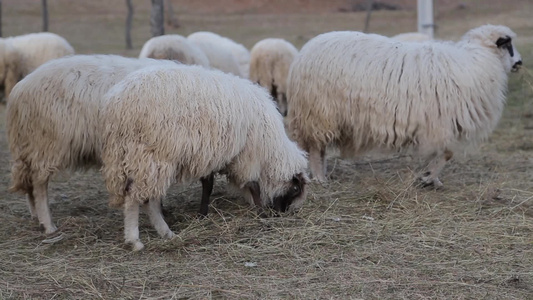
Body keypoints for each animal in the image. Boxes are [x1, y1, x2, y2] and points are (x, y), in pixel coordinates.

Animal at [7, 55, 179, 236]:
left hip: (29, 146)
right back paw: (48, 225)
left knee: (29, 184)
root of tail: (20, 87)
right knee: (39, 184)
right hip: (47, 144)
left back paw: (36, 217)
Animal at [101, 63, 308, 251]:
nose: (281, 213)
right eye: (295, 188)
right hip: (153, 156)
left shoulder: (210, 156)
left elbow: (208, 186)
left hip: (133, 156)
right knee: (137, 198)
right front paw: (261, 214)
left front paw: (202, 214)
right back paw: (137, 239)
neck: (271, 149)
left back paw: (164, 233)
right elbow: (253, 185)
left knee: (144, 199)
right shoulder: (248, 156)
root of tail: (116, 101)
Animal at [284, 25, 520, 185]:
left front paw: (429, 177)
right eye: (507, 44)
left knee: (320, 148)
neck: (479, 62)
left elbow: (439, 154)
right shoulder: (441, 125)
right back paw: (320, 178)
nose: (519, 63)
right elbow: (446, 154)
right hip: (319, 113)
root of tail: (302, 55)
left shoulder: (436, 125)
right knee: (317, 149)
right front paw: (429, 177)